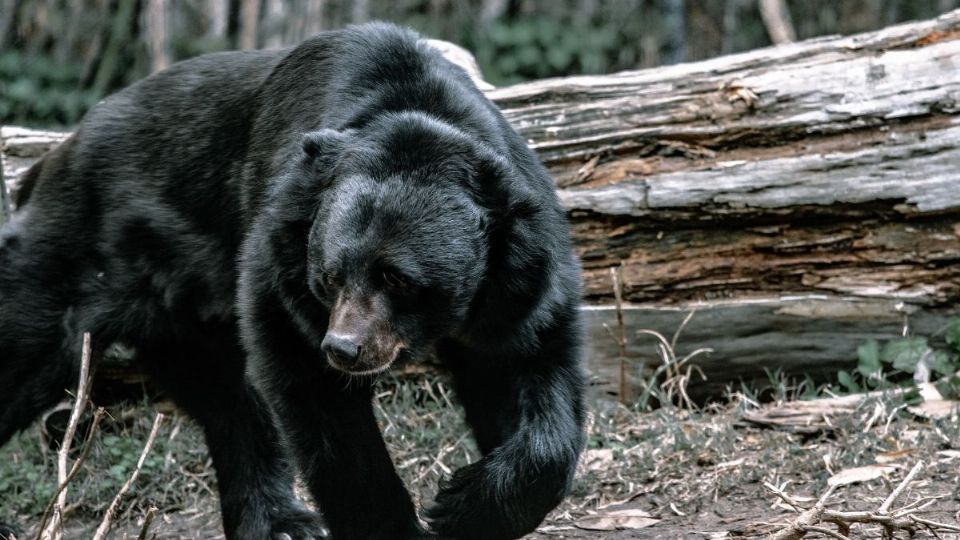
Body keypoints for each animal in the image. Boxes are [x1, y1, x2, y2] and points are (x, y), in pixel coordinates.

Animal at [0, 22, 584, 540]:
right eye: (329, 276)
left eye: (397, 278)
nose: (344, 348)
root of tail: (51, 159)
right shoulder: (281, 263)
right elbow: (319, 403)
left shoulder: (519, 281)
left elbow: (530, 373)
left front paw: (464, 505)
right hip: (74, 257)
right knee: (27, 347)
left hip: (180, 312)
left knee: (227, 400)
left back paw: (279, 522)